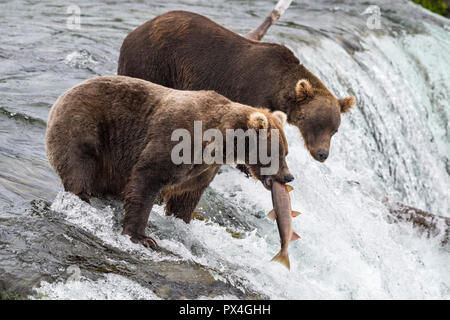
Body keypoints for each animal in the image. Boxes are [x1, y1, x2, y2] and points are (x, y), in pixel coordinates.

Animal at [45, 76, 292, 249]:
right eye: (277, 153)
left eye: (286, 152)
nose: (288, 176)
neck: (219, 143)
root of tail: (60, 98)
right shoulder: (176, 142)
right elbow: (146, 179)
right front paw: (142, 237)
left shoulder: (202, 169)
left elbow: (185, 198)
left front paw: (181, 225)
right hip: (86, 129)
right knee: (80, 167)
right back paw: (82, 200)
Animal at [118, 11, 356, 164]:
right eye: (316, 124)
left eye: (334, 129)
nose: (322, 154)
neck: (277, 89)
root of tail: (133, 33)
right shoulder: (252, 90)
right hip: (154, 61)